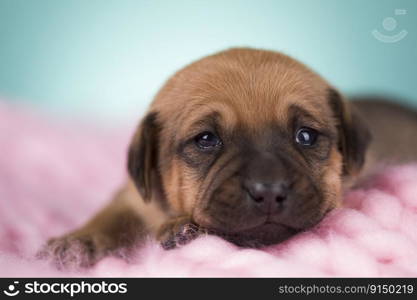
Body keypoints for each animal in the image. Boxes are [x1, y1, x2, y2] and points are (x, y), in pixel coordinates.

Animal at [39, 48, 416, 268]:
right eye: (206, 140)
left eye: (305, 136)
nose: (269, 191)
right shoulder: (132, 197)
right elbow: (110, 216)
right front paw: (78, 241)